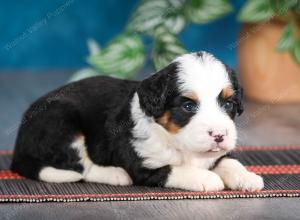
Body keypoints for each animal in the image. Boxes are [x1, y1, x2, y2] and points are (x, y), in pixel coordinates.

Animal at [11, 52, 264, 192]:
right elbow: (175, 169)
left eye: (229, 104)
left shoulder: (217, 153)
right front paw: (207, 178)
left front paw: (247, 177)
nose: (219, 135)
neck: (177, 141)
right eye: (188, 106)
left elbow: (229, 161)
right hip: (63, 123)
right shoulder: (143, 163)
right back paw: (115, 175)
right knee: (83, 168)